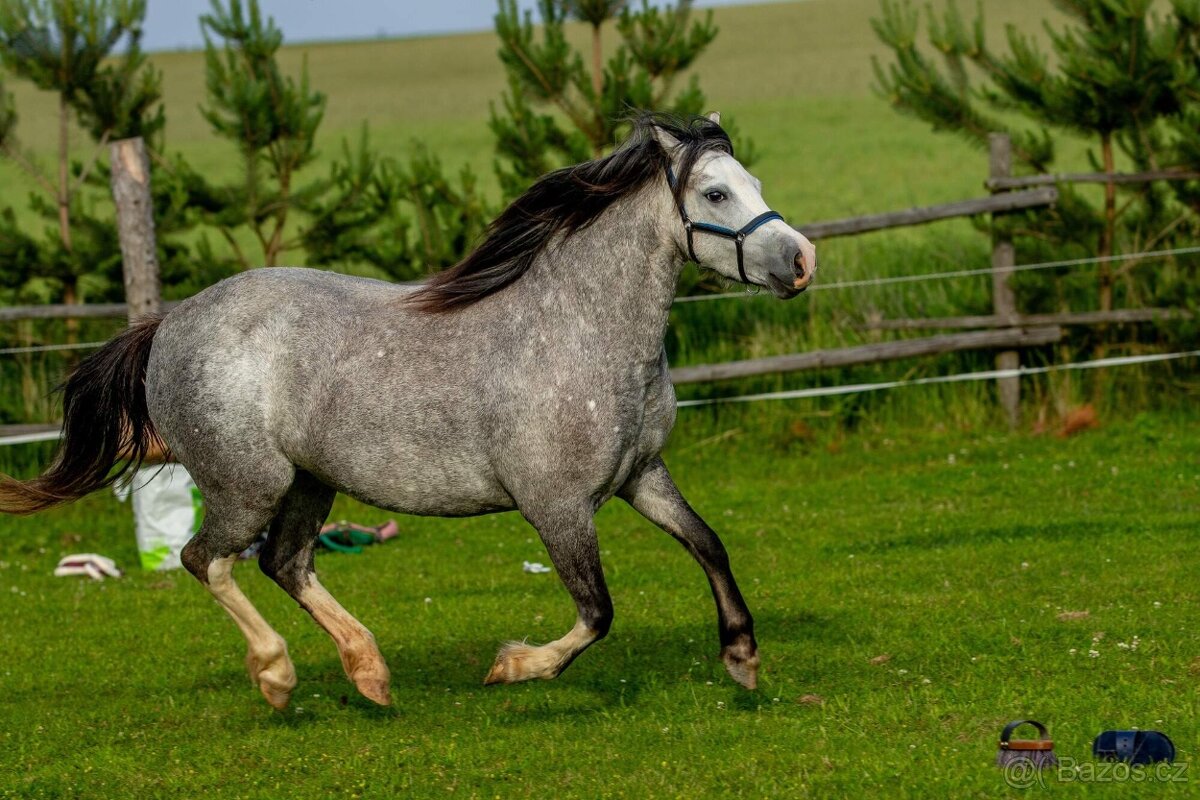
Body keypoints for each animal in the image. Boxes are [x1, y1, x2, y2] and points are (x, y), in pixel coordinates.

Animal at [0, 112, 816, 709]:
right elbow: (596, 612)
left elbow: (708, 544)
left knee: (284, 562)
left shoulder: (641, 474)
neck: (579, 328)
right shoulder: (557, 506)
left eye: (752, 182)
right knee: (207, 560)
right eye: (715, 196)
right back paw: (277, 675)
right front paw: (512, 667)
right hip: (246, 484)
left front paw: (742, 658)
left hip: (310, 482)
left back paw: (369, 673)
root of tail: (170, 324)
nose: (802, 260)